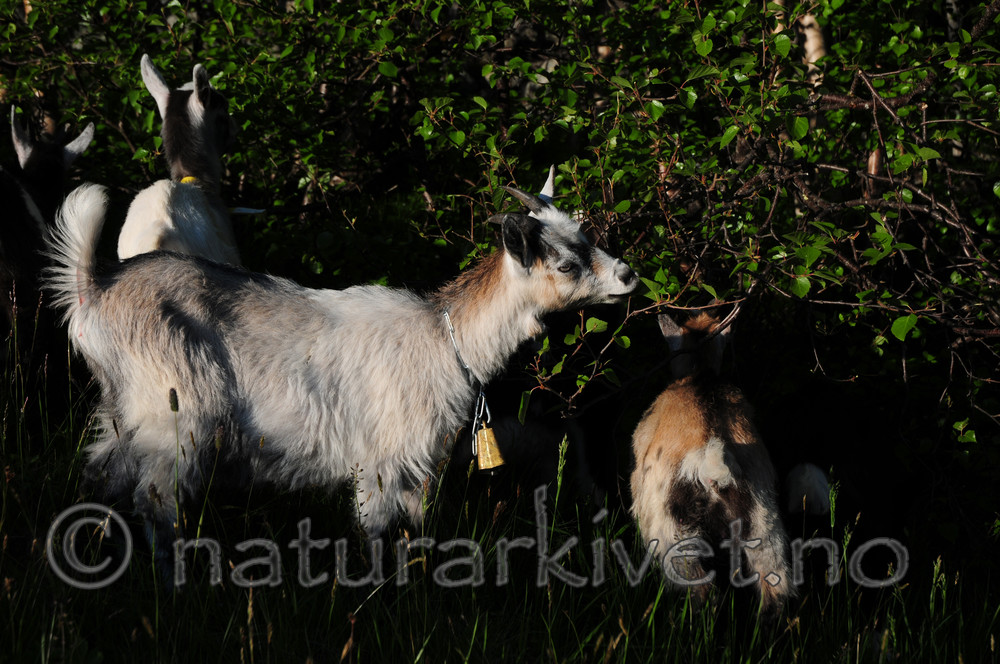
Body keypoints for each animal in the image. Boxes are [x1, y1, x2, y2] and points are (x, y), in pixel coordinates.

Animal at [46, 170, 637, 565]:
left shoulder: (420, 470)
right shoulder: (380, 461)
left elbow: (418, 534)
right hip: (174, 413)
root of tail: (92, 289)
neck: (444, 340)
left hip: (124, 411)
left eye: (587, 236)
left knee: (102, 471)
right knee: (155, 500)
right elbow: (375, 536)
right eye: (567, 263)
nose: (628, 275)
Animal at [630, 313, 792, 613]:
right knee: (774, 587)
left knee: (700, 590)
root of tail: (710, 459)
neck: (699, 376)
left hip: (673, 529)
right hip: (763, 522)